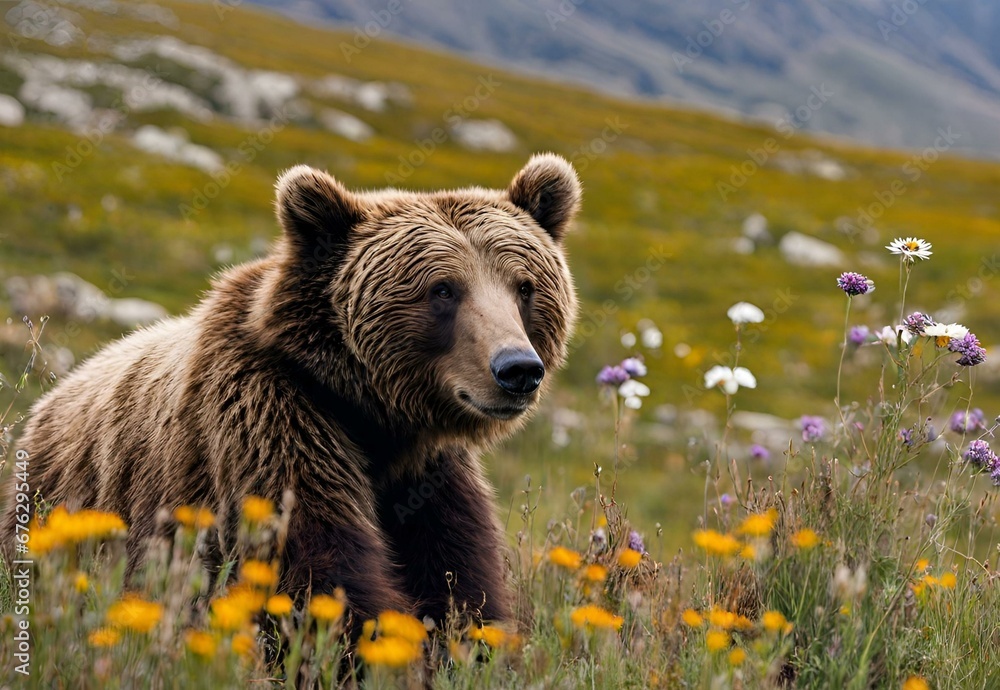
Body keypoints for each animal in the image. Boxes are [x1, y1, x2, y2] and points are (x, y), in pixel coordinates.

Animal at [2, 153, 581, 630]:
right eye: (442, 289)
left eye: (525, 286)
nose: (517, 369)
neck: (375, 420)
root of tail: (48, 402)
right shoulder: (266, 423)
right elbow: (314, 570)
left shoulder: (430, 475)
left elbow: (460, 580)